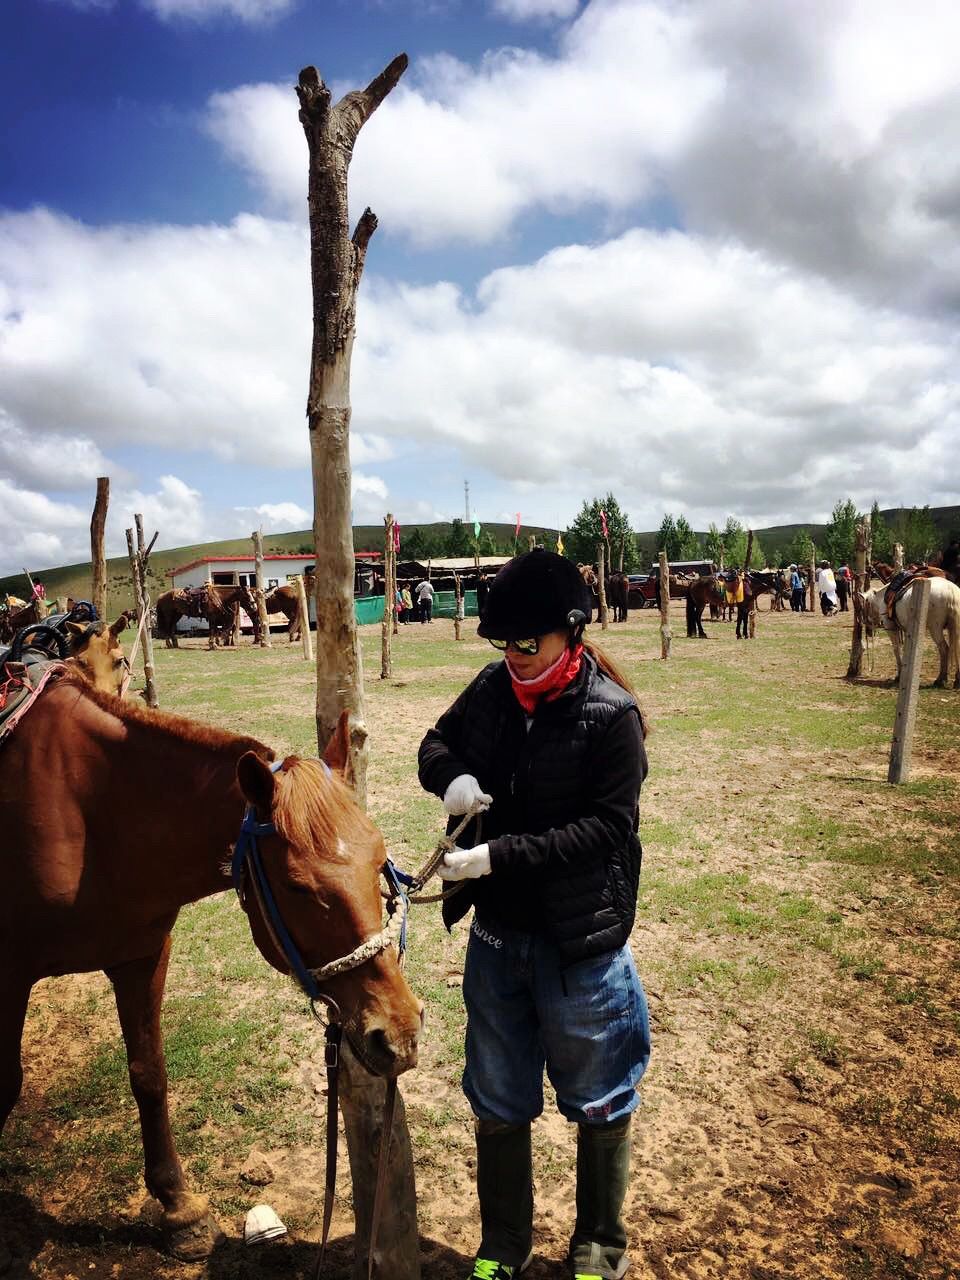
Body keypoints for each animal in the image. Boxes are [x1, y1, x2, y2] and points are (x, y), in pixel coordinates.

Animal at [0, 691, 419, 1259]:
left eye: (379, 861)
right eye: (297, 887)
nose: (399, 1033)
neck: (86, 816)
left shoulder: (141, 956)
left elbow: (148, 1073)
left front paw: (180, 1210)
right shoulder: (9, 973)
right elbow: (6, 1085)